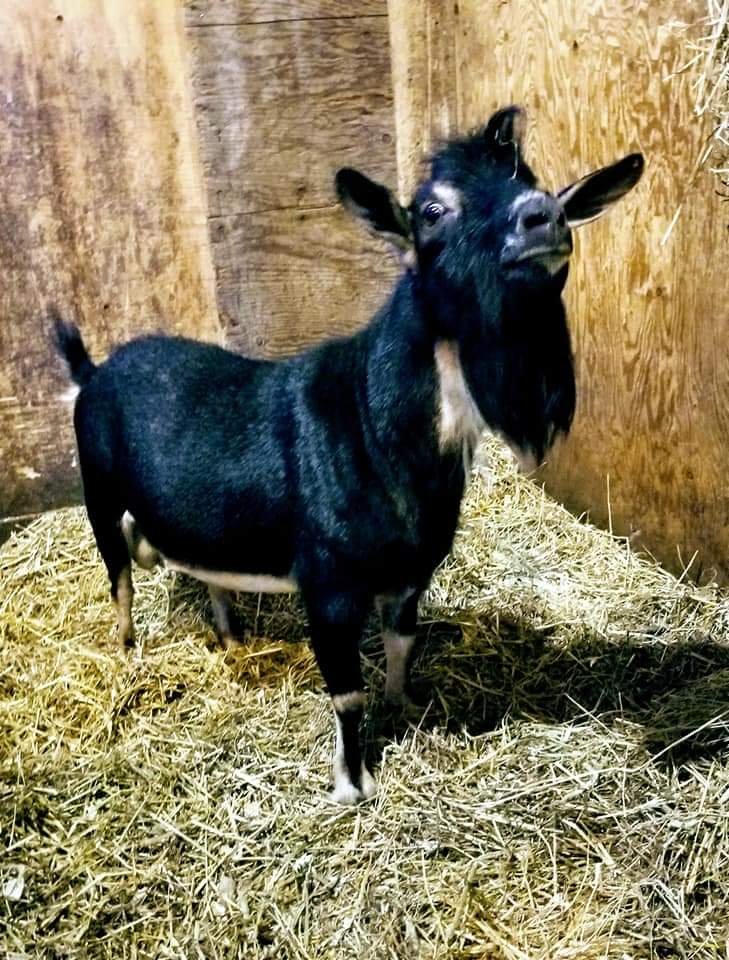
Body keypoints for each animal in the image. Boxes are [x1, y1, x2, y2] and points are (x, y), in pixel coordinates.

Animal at [55, 106, 643, 803]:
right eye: (432, 211)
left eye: (532, 181)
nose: (541, 217)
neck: (374, 427)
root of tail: (94, 371)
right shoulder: (329, 583)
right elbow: (346, 693)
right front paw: (352, 785)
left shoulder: (412, 572)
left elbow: (401, 644)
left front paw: (407, 706)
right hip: (98, 490)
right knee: (118, 571)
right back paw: (128, 650)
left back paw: (229, 636)